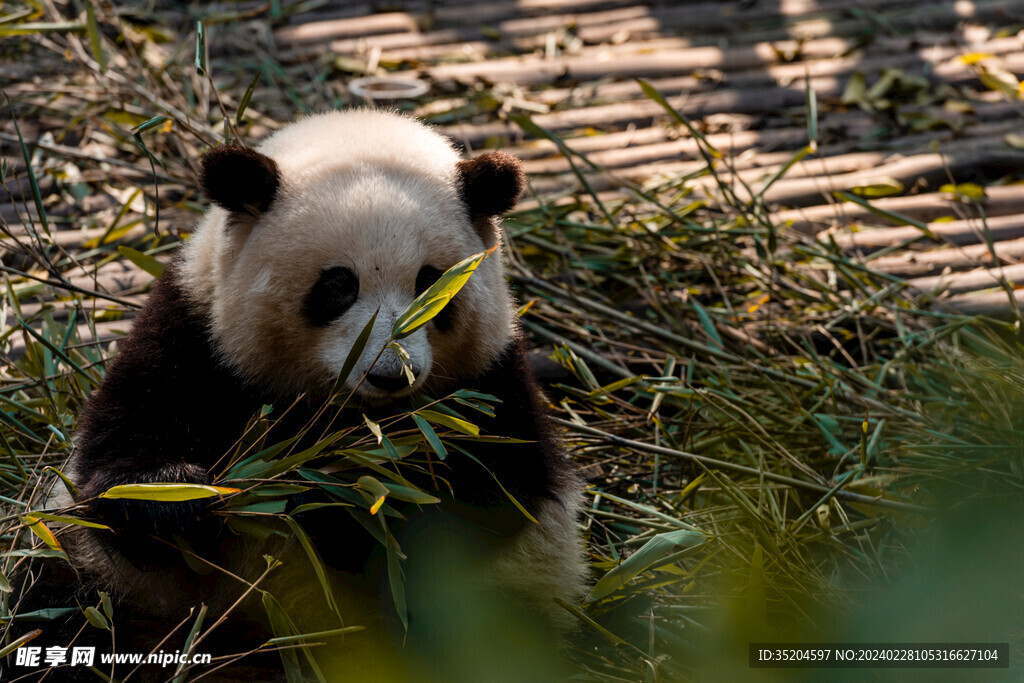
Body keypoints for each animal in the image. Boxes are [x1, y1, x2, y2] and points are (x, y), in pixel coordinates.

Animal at [18, 109, 585, 679]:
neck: (350, 417)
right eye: (337, 286)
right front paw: (178, 499)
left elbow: (487, 495)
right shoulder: (194, 336)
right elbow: (117, 468)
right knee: (61, 609)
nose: (389, 375)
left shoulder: (487, 379)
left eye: (431, 284)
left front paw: (337, 507)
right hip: (106, 585)